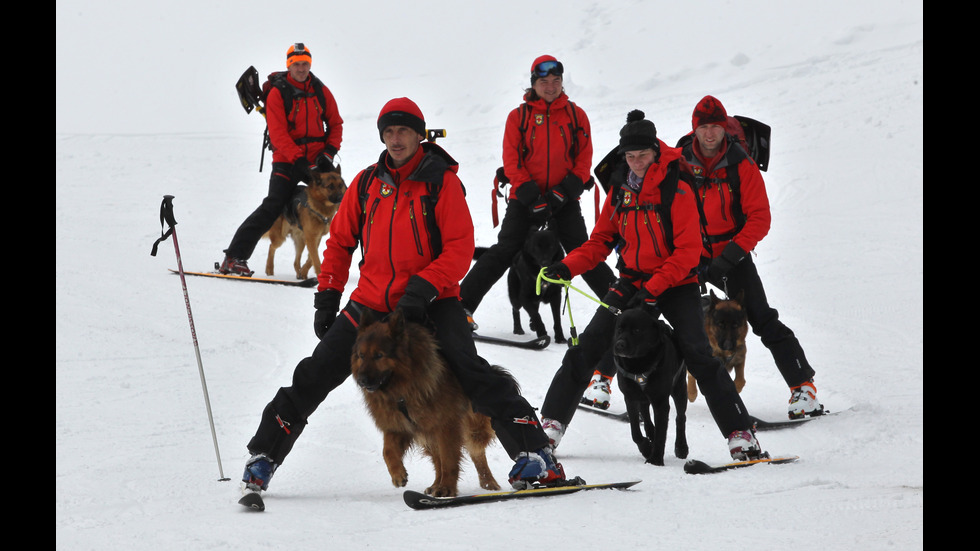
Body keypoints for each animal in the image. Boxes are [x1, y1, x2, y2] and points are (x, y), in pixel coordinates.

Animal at [350, 308, 502, 498]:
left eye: (379, 355)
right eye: (361, 356)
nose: (361, 381)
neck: (402, 387)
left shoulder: (446, 426)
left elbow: (449, 459)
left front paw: (447, 488)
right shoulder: (399, 426)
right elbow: (387, 451)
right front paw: (398, 474)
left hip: (471, 427)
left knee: (476, 452)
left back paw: (488, 483)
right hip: (428, 432)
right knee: (438, 461)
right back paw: (435, 484)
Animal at [612, 306, 688, 466]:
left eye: (636, 330)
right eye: (619, 329)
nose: (619, 345)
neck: (638, 364)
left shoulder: (660, 401)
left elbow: (661, 433)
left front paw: (656, 460)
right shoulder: (630, 397)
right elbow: (635, 431)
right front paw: (646, 448)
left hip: (679, 388)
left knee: (680, 417)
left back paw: (681, 447)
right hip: (643, 397)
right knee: (646, 417)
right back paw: (650, 434)